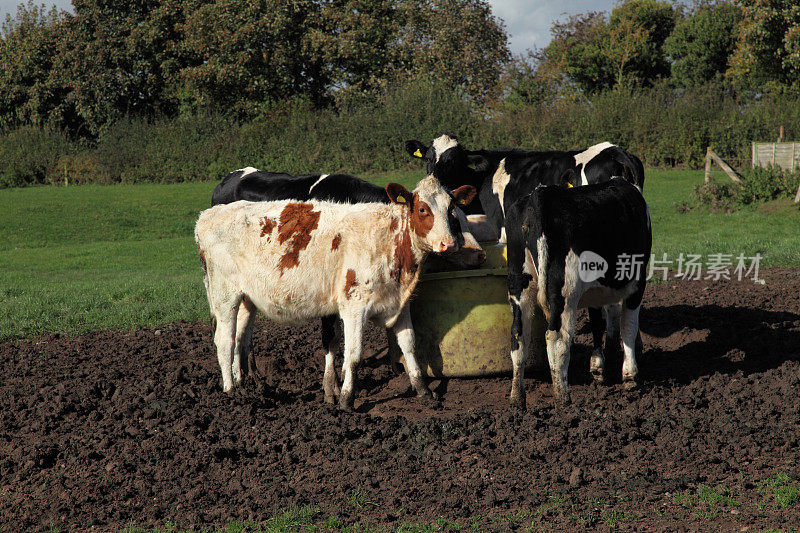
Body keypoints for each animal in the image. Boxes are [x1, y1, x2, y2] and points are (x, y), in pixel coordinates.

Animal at [195, 177, 478, 410]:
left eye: (451, 210)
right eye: (422, 209)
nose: (449, 244)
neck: (390, 241)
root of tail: (208, 215)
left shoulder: (400, 303)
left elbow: (409, 345)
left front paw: (424, 391)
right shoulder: (354, 307)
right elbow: (353, 355)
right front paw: (346, 400)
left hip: (246, 299)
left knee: (240, 338)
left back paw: (245, 386)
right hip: (224, 296)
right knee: (224, 341)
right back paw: (231, 393)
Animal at [506, 179, 648, 408]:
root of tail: (540, 195)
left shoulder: (596, 292)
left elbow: (598, 323)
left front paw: (598, 368)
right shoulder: (637, 284)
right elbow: (628, 327)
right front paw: (630, 376)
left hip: (520, 285)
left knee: (518, 336)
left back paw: (517, 398)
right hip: (565, 293)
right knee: (557, 339)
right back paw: (563, 398)